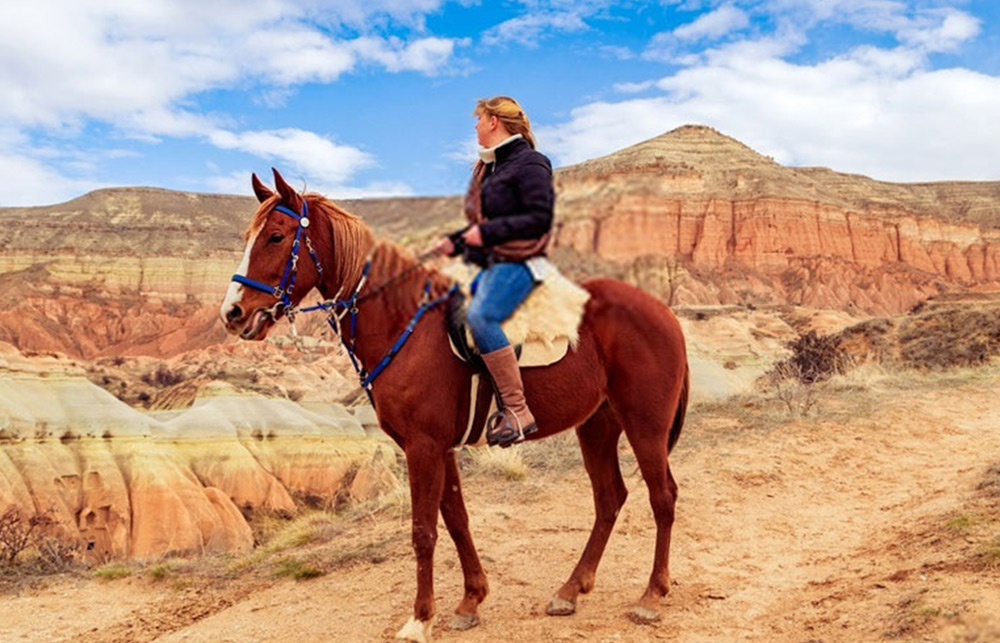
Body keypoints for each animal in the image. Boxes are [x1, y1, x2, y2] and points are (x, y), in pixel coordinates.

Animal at [218, 169, 688, 640]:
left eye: (276, 236)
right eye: (249, 236)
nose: (233, 313)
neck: (404, 324)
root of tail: (664, 313)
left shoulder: (423, 446)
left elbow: (424, 530)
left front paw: (420, 618)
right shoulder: (438, 448)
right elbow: (457, 520)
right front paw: (470, 600)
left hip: (645, 426)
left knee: (662, 496)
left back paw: (651, 596)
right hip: (597, 425)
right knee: (609, 498)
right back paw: (570, 590)